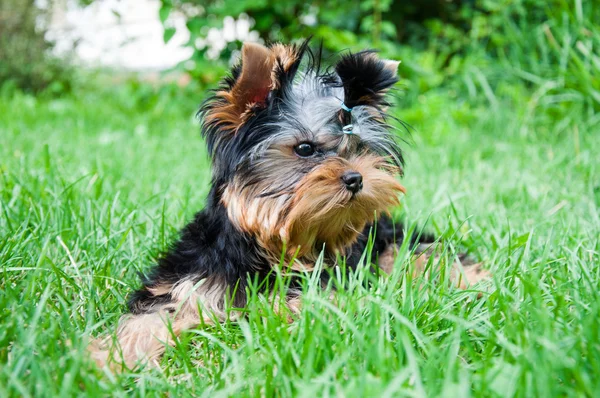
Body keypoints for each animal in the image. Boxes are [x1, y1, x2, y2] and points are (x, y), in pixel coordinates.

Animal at [91, 40, 490, 370]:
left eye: (358, 149)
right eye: (304, 148)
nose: (356, 177)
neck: (271, 244)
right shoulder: (189, 279)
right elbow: (150, 316)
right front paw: (104, 362)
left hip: (393, 243)